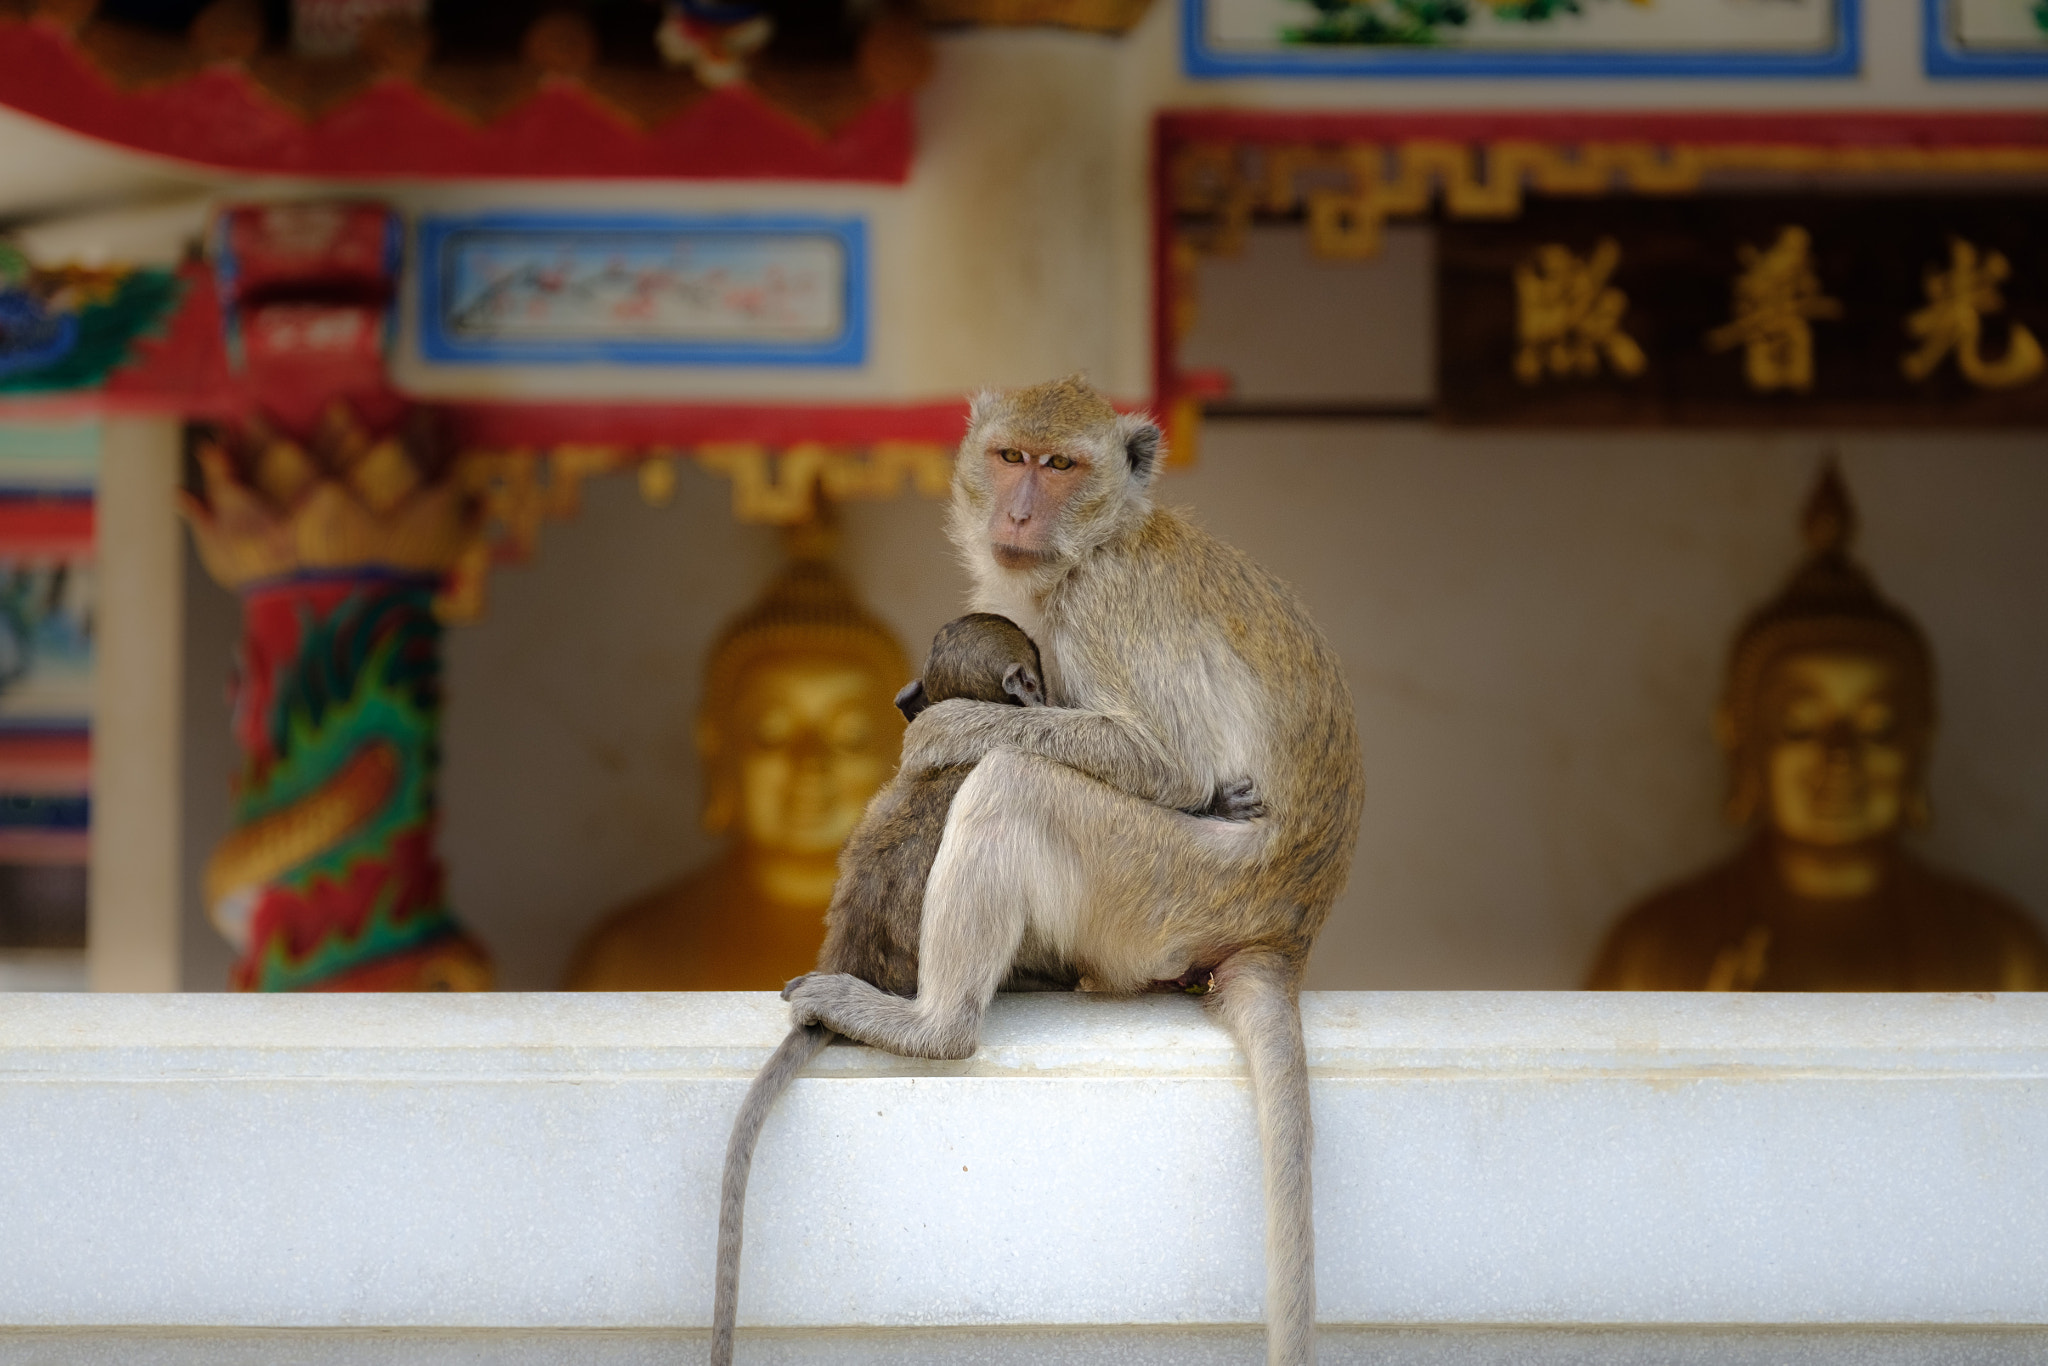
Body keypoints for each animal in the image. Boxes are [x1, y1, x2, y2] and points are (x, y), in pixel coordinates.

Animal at [782, 376, 1359, 1366]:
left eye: (1061, 466)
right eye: (1011, 457)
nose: (1018, 509)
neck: (1090, 547)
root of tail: (1287, 931)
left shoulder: (1103, 605)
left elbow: (1170, 764)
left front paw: (944, 731)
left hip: (1165, 887)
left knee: (1016, 784)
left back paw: (932, 1027)